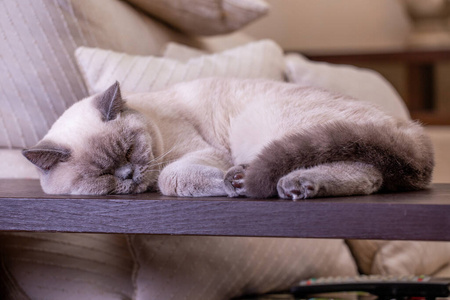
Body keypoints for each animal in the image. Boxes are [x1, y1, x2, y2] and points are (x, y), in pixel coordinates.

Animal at [22, 78, 434, 198]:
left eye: (128, 150)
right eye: (102, 173)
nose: (128, 175)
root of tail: (411, 127)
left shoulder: (197, 154)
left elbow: (171, 179)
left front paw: (233, 182)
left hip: (266, 129)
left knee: (368, 175)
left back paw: (292, 185)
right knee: (372, 178)